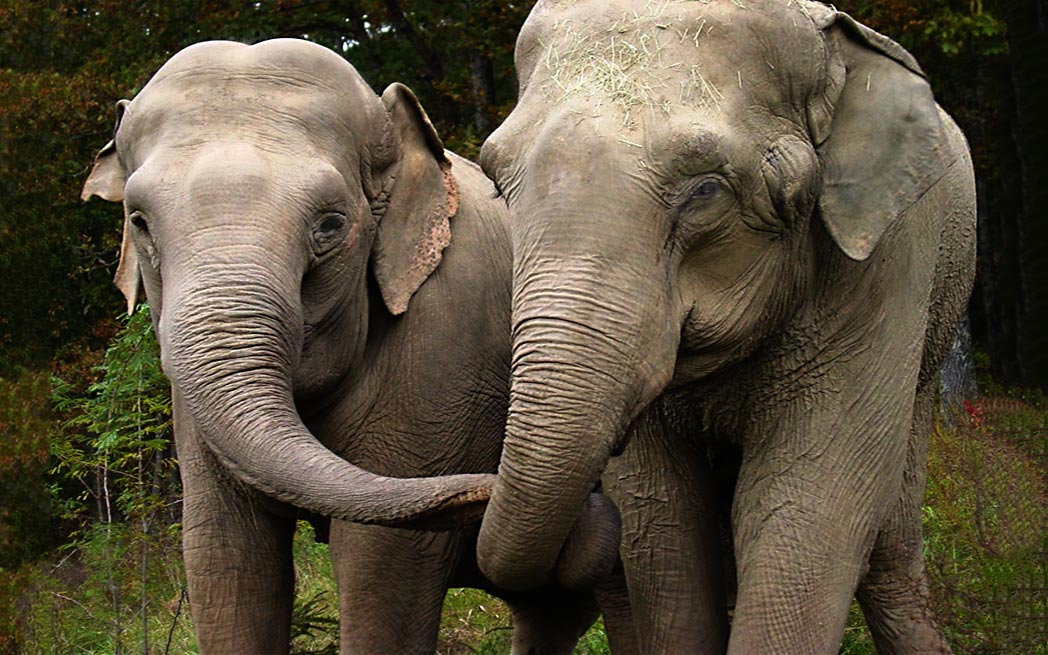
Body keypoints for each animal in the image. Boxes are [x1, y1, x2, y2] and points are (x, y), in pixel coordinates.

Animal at [81, 38, 627, 655]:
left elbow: (381, 564)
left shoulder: (446, 354)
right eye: (139, 221)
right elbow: (226, 557)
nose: (487, 492)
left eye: (329, 225)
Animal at [475, 1, 976, 654]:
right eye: (496, 180)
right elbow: (659, 514)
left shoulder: (888, 262)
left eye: (706, 189)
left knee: (889, 542)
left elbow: (810, 502)